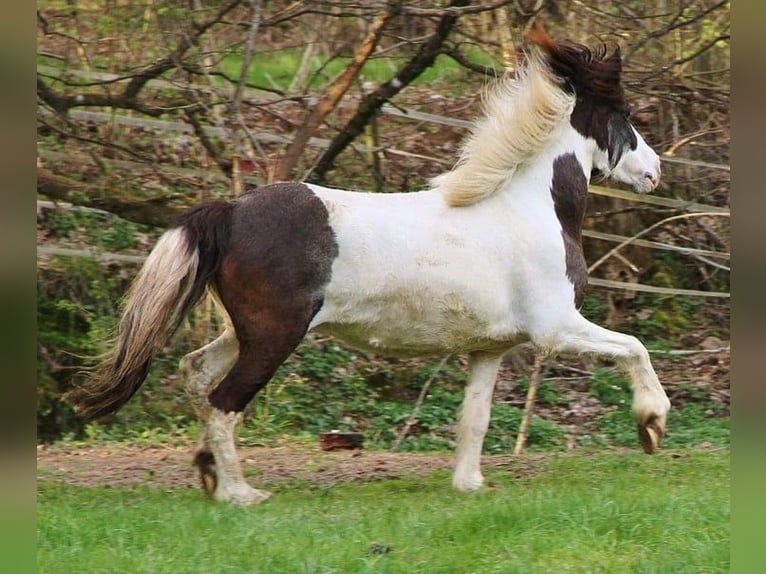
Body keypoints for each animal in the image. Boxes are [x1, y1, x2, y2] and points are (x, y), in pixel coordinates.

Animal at [69, 23, 671, 505]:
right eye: (625, 117)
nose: (655, 171)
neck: (527, 207)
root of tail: (231, 211)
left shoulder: (489, 347)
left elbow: (474, 419)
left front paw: (470, 486)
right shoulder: (556, 328)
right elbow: (635, 348)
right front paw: (651, 424)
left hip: (245, 332)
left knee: (196, 373)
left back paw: (210, 474)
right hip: (273, 337)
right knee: (224, 401)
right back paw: (241, 493)